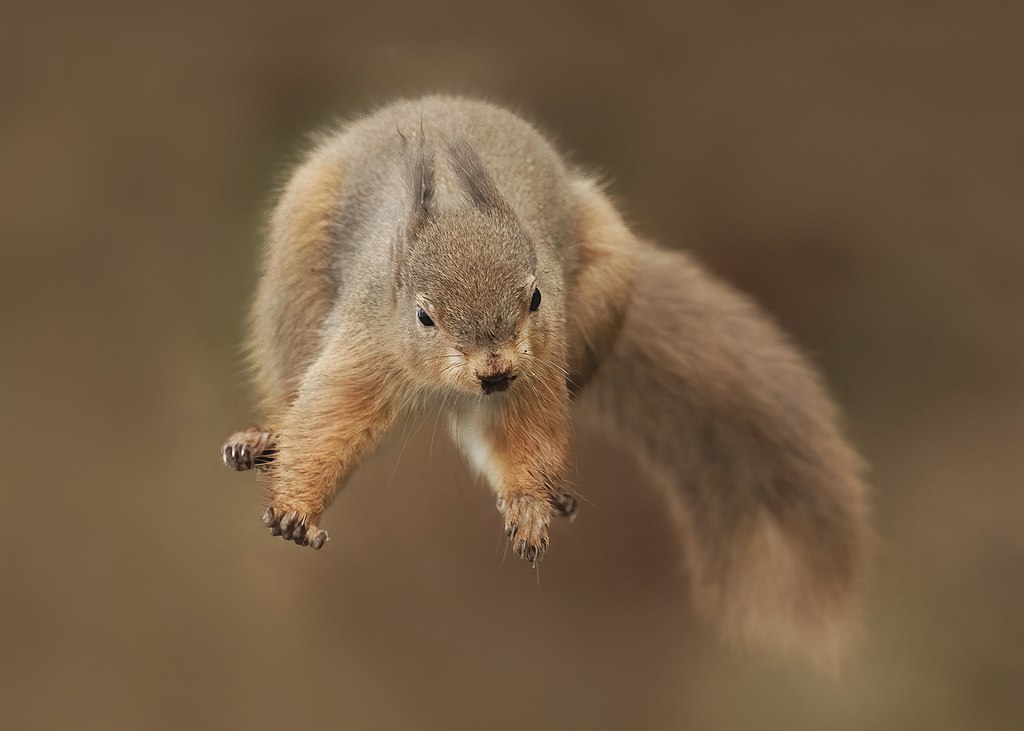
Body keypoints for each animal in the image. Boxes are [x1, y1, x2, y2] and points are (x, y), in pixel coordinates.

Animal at [222, 95, 870, 659]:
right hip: (297, 273)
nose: (494, 371)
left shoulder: (538, 365)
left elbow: (522, 438)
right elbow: (328, 420)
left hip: (602, 287)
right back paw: (263, 435)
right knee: (289, 380)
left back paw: (553, 491)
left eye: (534, 297)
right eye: (424, 315)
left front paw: (529, 505)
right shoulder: (365, 344)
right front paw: (297, 509)